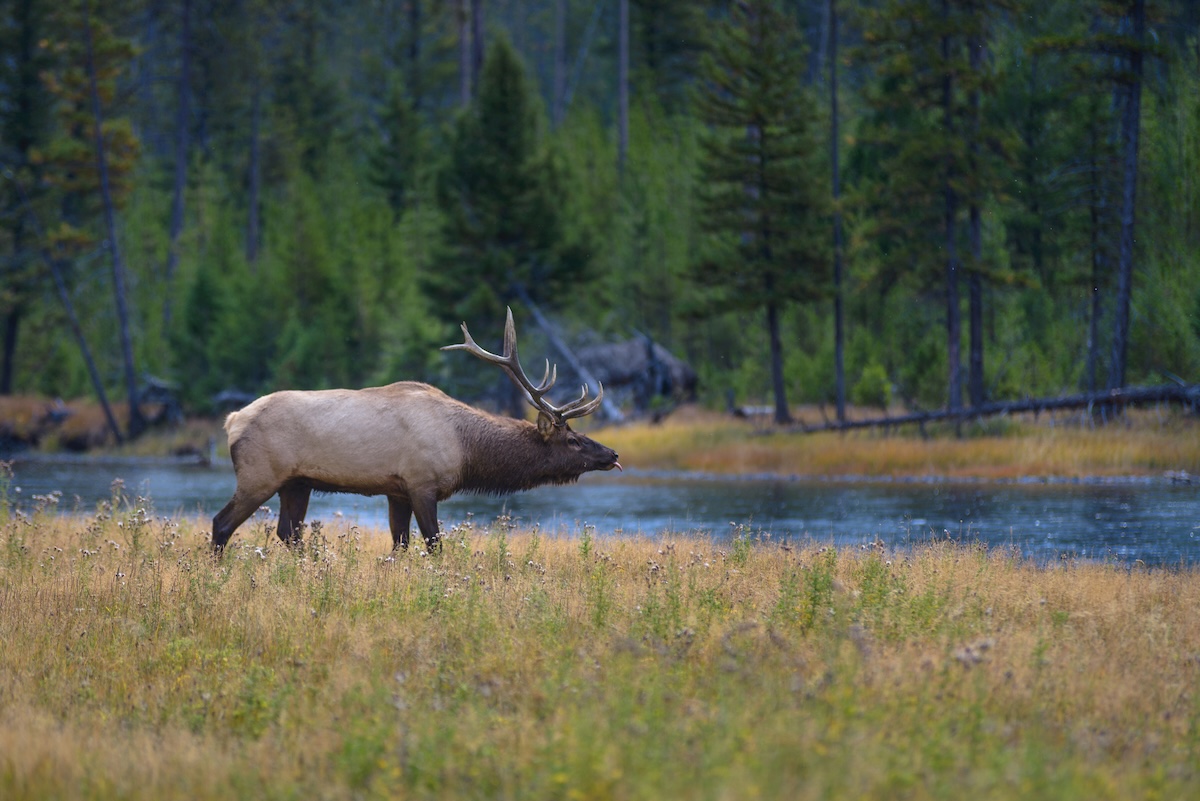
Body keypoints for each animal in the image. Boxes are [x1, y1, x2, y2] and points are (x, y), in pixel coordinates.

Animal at [210, 308, 621, 554]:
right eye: (573, 440)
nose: (613, 454)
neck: (467, 450)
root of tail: (232, 419)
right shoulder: (422, 484)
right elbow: (434, 544)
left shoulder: (397, 491)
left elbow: (400, 545)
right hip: (260, 475)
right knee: (222, 523)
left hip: (296, 483)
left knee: (289, 534)